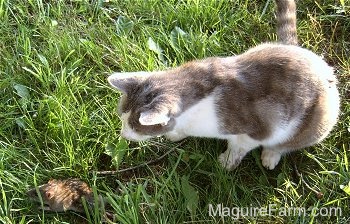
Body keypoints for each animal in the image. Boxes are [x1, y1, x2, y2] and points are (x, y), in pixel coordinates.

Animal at [106, 0, 340, 170]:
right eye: (122, 118)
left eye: (135, 126)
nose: (123, 135)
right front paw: (176, 134)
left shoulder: (259, 128)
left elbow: (240, 146)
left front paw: (227, 161)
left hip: (317, 121)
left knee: (289, 143)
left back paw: (271, 155)